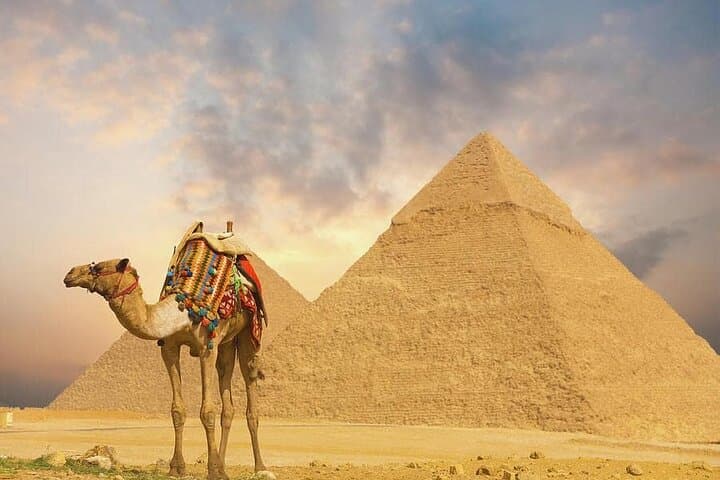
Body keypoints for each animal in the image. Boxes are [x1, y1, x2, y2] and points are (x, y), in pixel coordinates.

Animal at [63, 255, 273, 480]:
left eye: (100, 268)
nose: (70, 274)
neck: (182, 312)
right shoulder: (170, 348)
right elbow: (177, 410)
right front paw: (178, 467)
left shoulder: (207, 347)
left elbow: (207, 411)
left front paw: (212, 469)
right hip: (226, 343)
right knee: (227, 397)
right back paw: (223, 466)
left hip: (248, 334)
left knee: (250, 385)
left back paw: (259, 467)